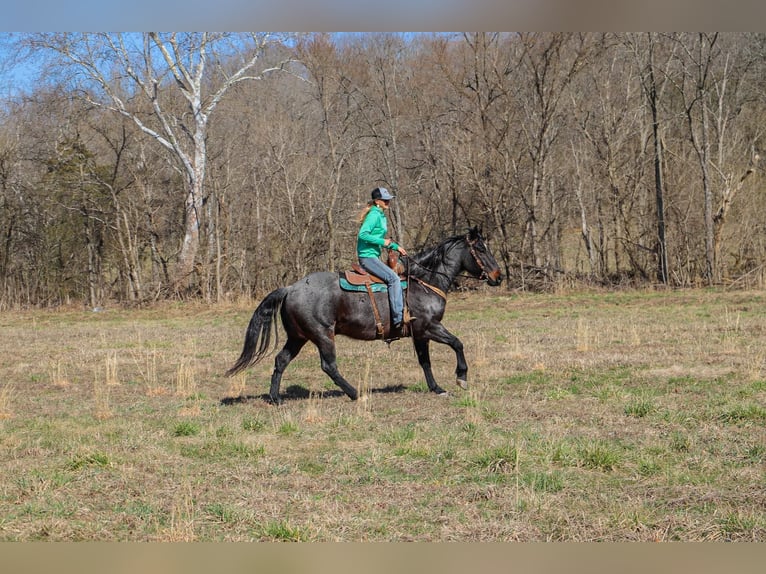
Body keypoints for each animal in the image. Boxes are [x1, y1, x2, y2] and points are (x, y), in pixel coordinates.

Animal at [226, 227, 504, 408]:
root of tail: (290, 288)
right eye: (481, 249)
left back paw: (276, 398)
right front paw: (461, 378)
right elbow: (458, 343)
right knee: (329, 366)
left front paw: (437, 388)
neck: (425, 282)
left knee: (281, 360)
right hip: (322, 335)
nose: (498, 276)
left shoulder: (419, 334)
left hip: (298, 337)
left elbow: (425, 362)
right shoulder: (430, 327)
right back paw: (356, 394)